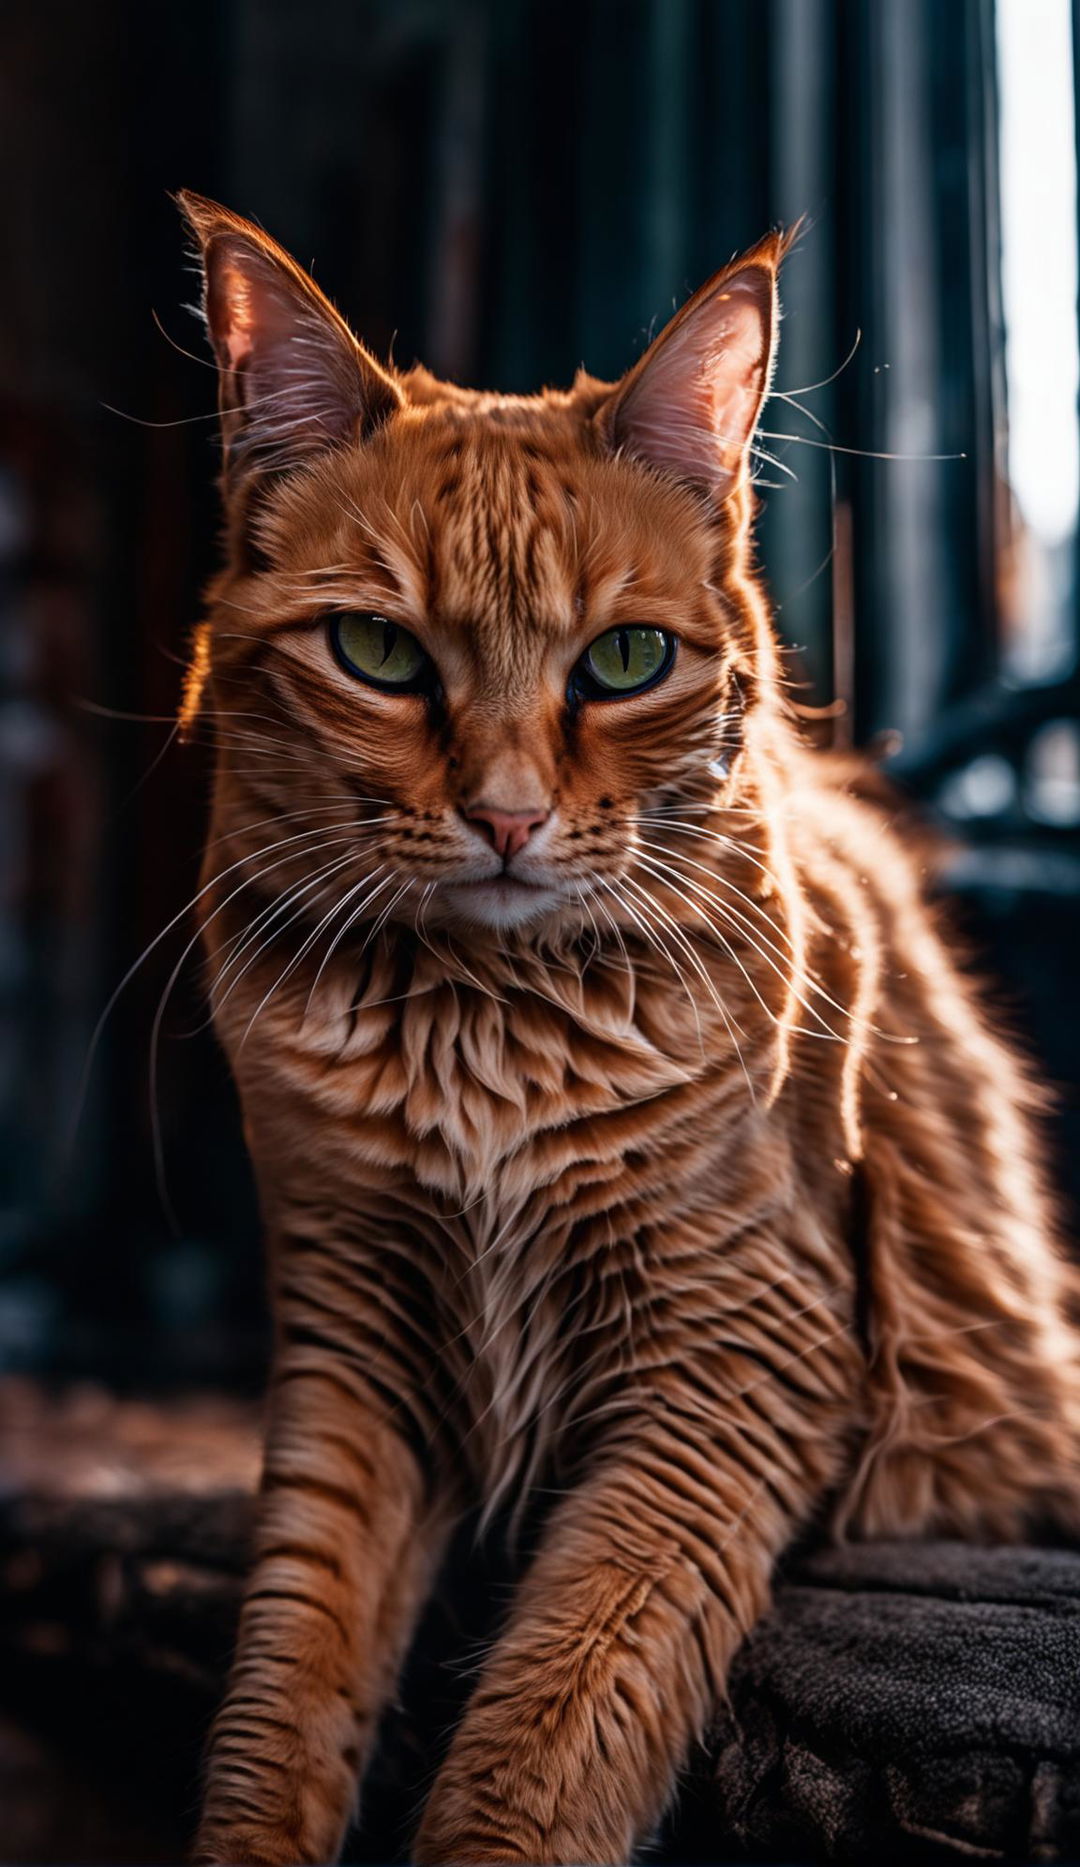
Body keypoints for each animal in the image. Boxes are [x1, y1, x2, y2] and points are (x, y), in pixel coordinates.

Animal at [176, 193, 1076, 1867]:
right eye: (379, 655)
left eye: (624, 662)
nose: (508, 815)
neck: (481, 1031)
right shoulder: (356, 1349)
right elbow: (285, 1695)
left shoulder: (735, 1362)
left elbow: (545, 1724)